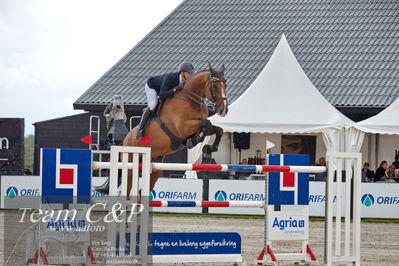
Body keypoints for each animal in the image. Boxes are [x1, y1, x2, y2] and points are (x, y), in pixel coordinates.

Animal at [123, 64, 230, 193]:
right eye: (214, 86)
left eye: (226, 85)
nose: (223, 110)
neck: (191, 99)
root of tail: (126, 139)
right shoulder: (183, 127)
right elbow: (207, 123)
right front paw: (195, 139)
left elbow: (218, 129)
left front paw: (209, 147)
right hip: (130, 165)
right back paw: (139, 133)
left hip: (155, 166)